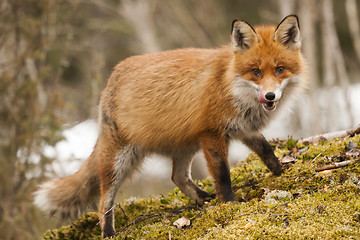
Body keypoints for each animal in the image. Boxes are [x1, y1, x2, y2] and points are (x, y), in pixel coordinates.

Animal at [35, 15, 306, 238]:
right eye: (256, 72)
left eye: (280, 70)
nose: (270, 96)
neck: (230, 84)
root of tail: (112, 77)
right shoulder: (213, 133)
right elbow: (222, 175)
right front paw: (230, 203)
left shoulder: (244, 129)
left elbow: (266, 150)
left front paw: (281, 170)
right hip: (119, 160)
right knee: (104, 202)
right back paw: (109, 233)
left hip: (186, 145)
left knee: (177, 177)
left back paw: (203, 199)